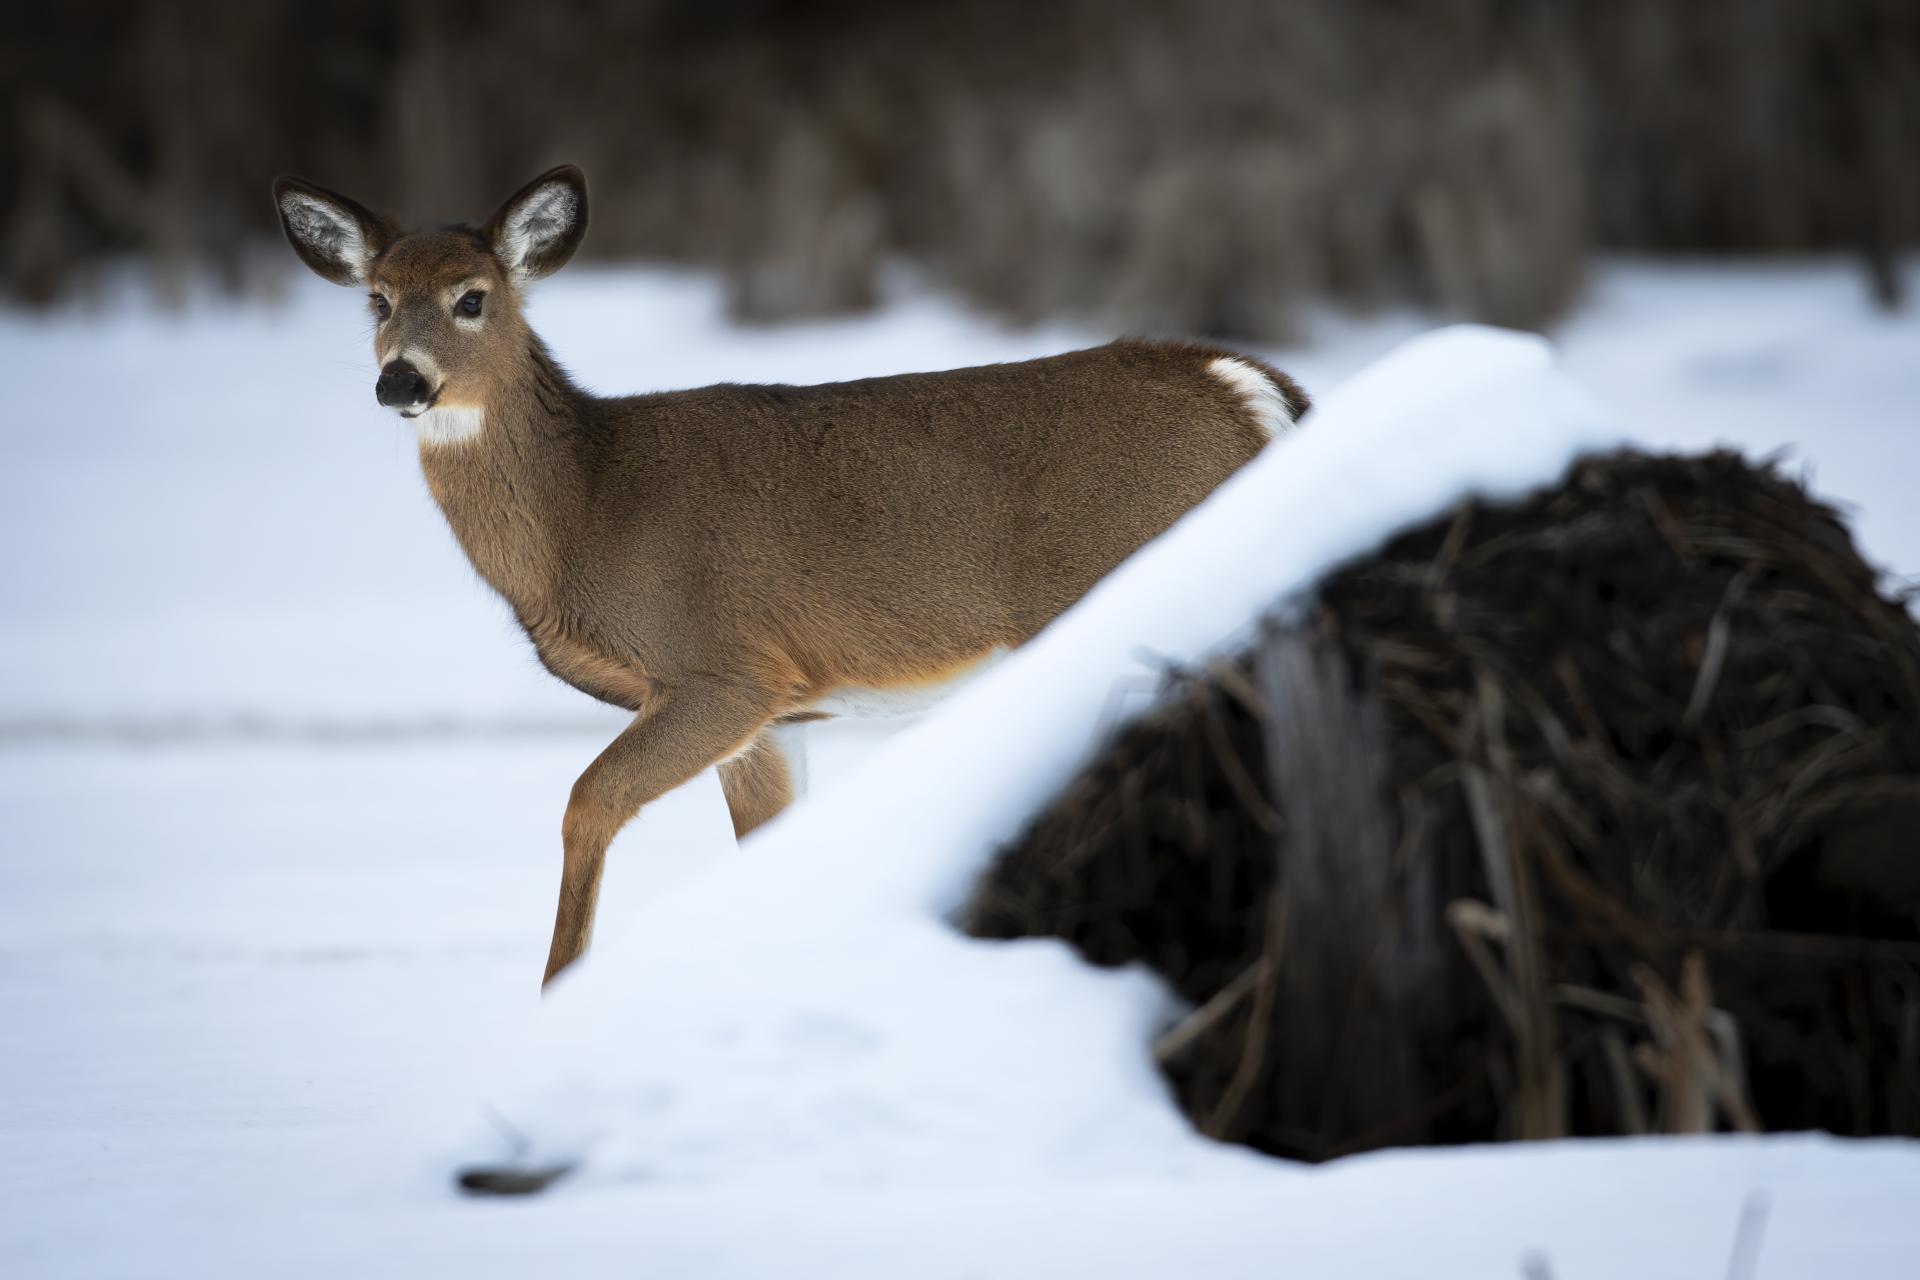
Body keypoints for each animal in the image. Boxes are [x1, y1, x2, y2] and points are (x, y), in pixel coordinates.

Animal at [272, 164, 1309, 988]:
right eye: (376, 301)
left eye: (473, 297)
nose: (401, 381)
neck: (587, 512)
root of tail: (1245, 386)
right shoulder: (777, 715)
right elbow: (762, 847)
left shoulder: (723, 668)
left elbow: (585, 802)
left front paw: (556, 997)